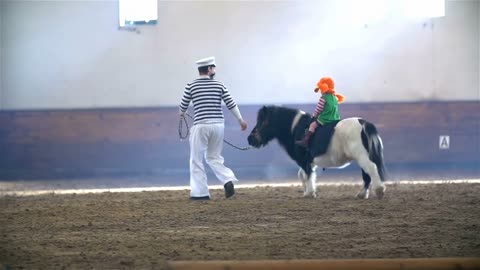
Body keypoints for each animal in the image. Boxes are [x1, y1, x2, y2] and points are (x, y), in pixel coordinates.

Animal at [248, 105, 386, 198]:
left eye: (262, 122)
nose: (250, 139)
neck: (295, 129)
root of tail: (364, 124)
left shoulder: (303, 160)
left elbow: (307, 174)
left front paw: (309, 193)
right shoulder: (309, 161)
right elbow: (303, 175)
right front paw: (308, 191)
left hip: (362, 156)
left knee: (371, 169)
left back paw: (379, 190)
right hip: (362, 156)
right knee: (366, 174)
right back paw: (362, 194)